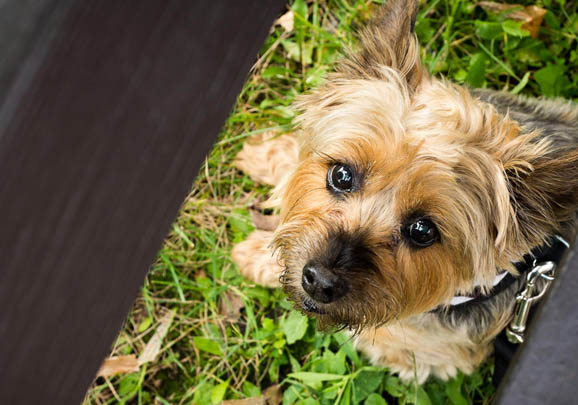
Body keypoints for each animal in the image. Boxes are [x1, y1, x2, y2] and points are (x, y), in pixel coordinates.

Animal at [231, 0, 576, 384]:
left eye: (423, 231)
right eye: (341, 175)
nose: (320, 282)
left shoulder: (419, 347)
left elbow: (375, 325)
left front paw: (256, 253)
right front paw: (267, 157)